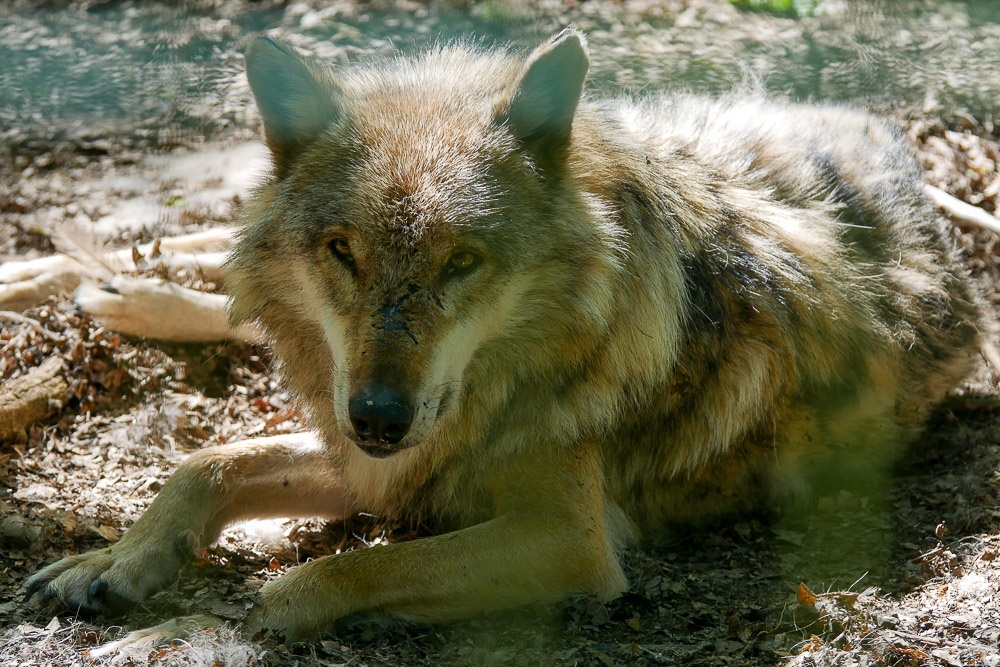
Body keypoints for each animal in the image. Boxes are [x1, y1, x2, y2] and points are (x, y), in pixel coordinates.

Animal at [23, 28, 984, 644]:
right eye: (343, 251)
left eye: (462, 261)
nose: (376, 415)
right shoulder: (380, 453)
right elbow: (205, 462)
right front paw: (112, 558)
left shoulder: (569, 538)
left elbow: (353, 567)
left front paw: (268, 608)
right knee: (211, 256)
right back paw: (94, 282)